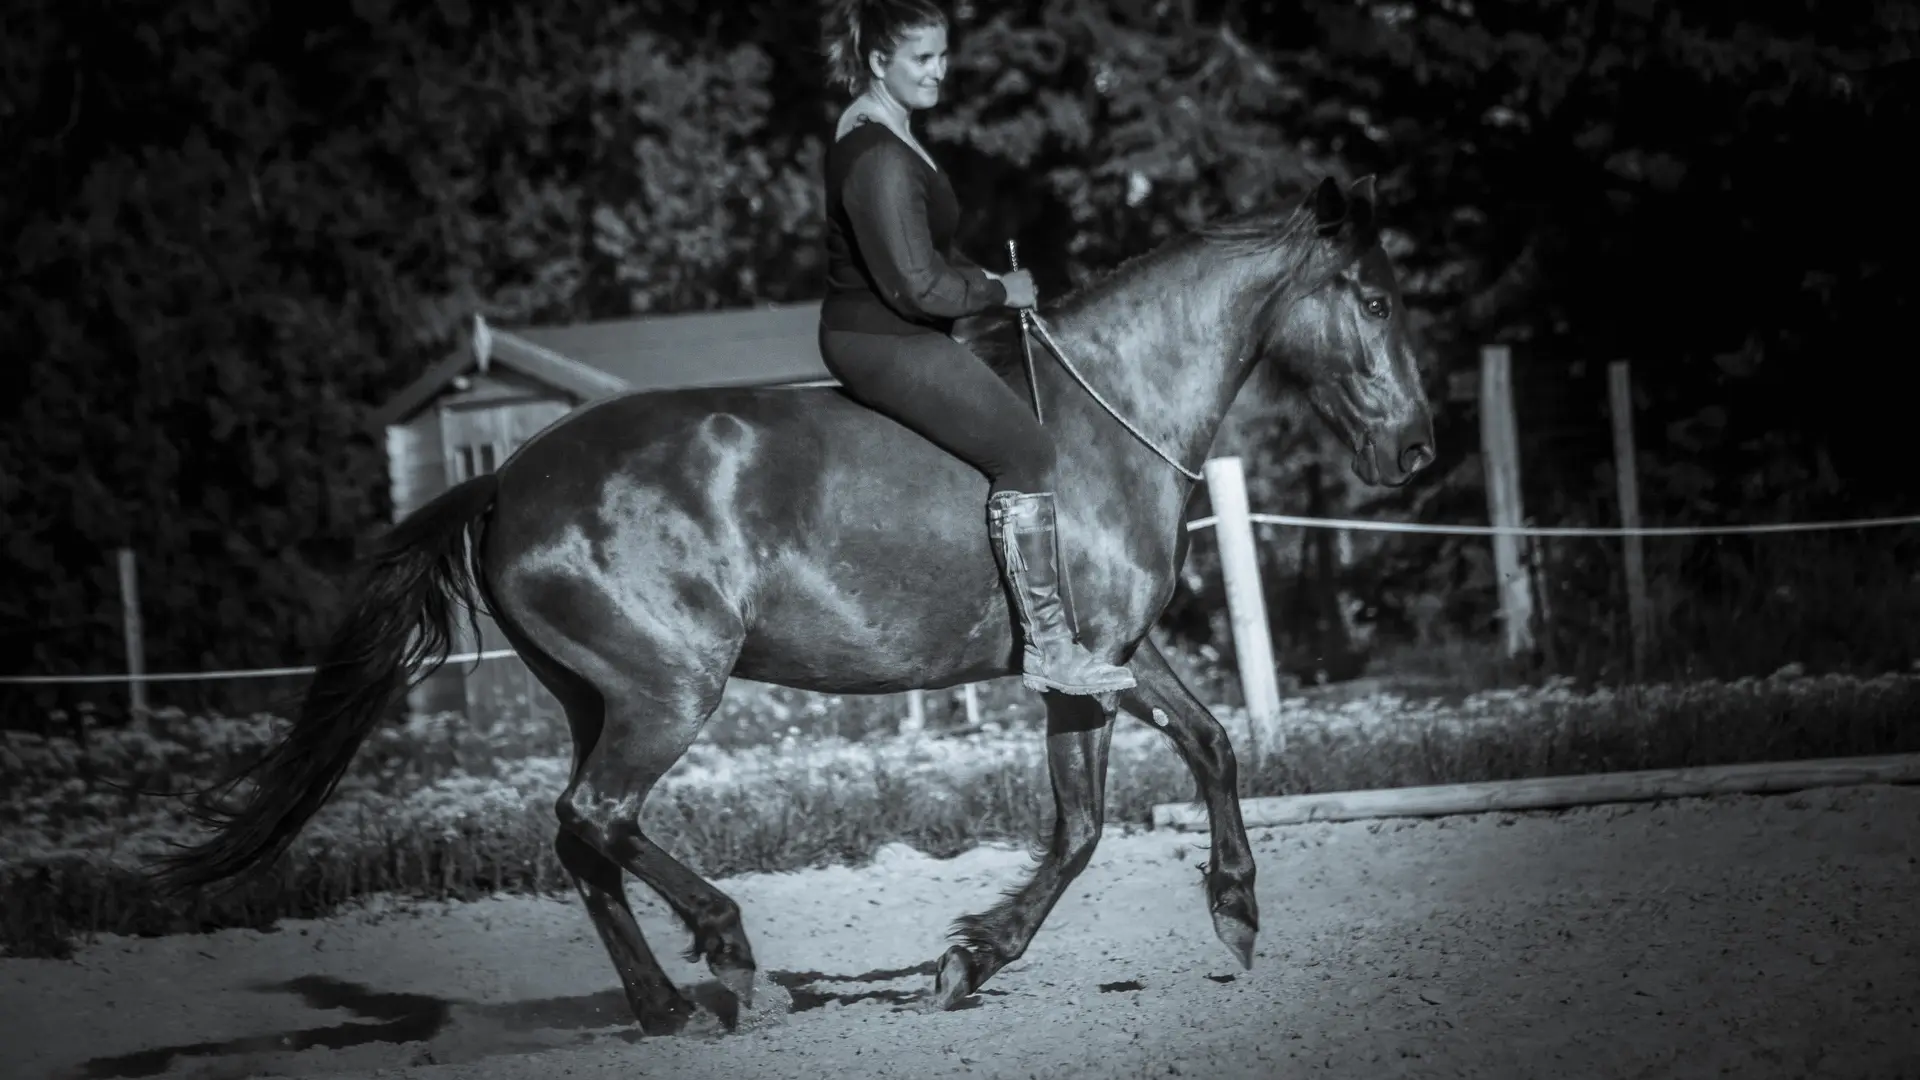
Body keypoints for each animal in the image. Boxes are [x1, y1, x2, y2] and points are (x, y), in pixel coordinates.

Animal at [149, 174, 1435, 1033]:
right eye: (1371, 298)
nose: (1418, 449)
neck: (1104, 412)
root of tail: (504, 480)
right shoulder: (1081, 674)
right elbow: (1080, 829)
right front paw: (974, 959)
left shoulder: (1121, 648)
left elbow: (1210, 747)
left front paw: (1234, 912)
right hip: (669, 691)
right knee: (595, 817)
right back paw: (724, 951)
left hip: (593, 695)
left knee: (582, 840)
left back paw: (666, 1006)